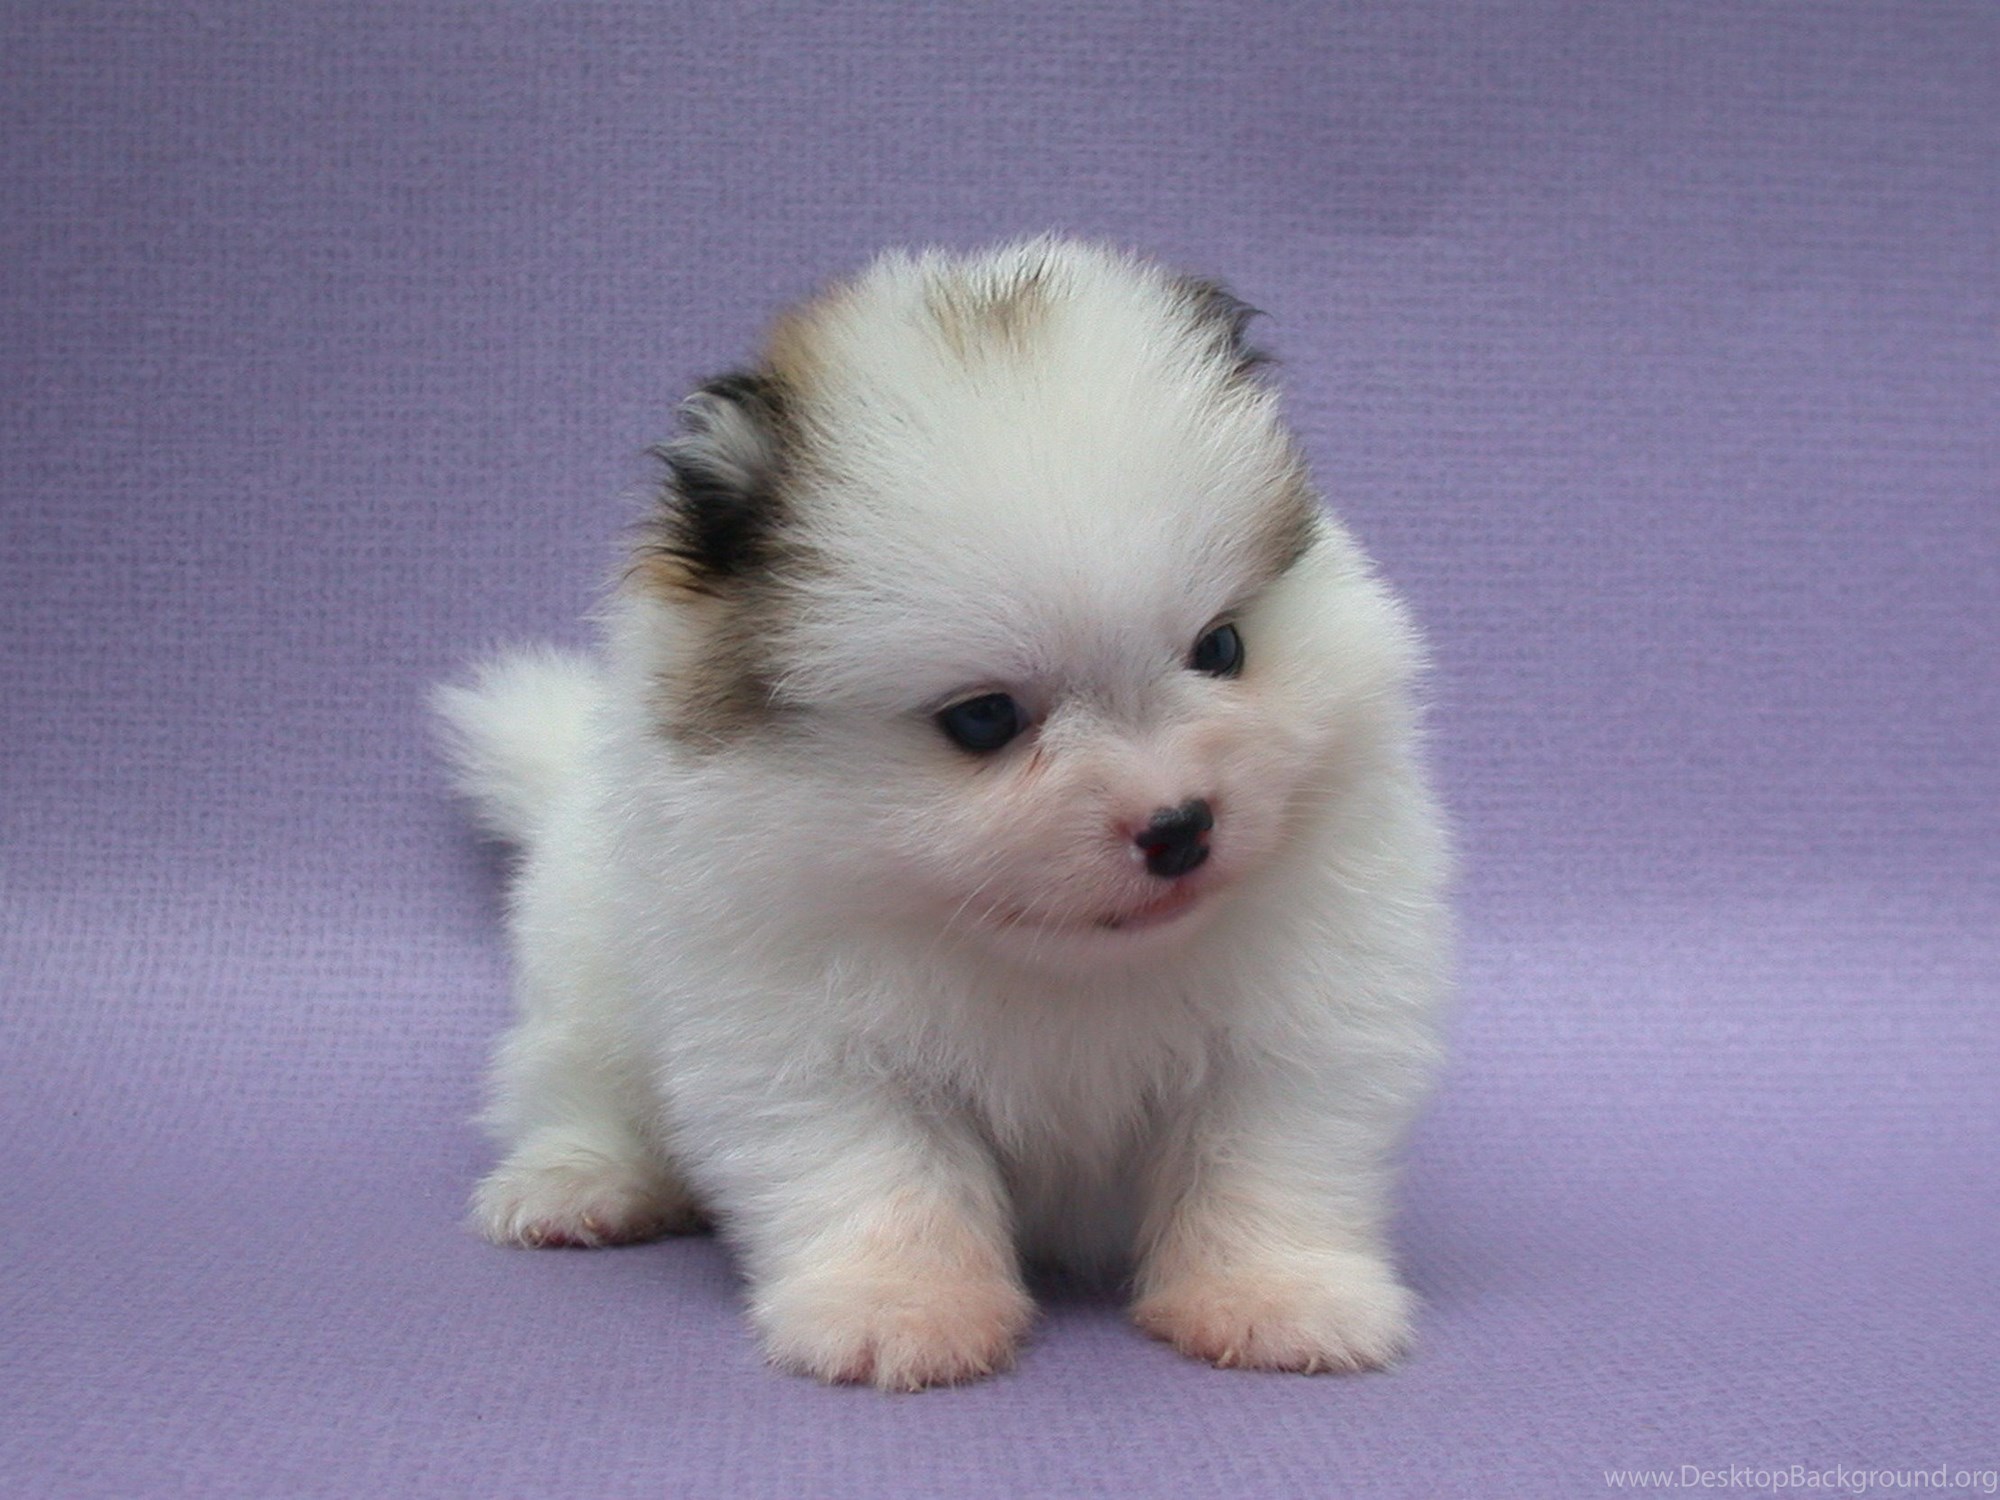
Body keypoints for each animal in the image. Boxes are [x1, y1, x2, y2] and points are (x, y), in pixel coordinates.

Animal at [436, 238, 1451, 1389]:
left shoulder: (1299, 1025)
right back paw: (578, 1183)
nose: (1179, 825)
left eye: (1222, 647)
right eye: (982, 719)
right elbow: (882, 1172)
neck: (1062, 966)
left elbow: (1265, 1157)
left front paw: (1273, 1297)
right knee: (571, 1085)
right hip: (586, 975)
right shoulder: (814, 1043)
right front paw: (897, 1309)